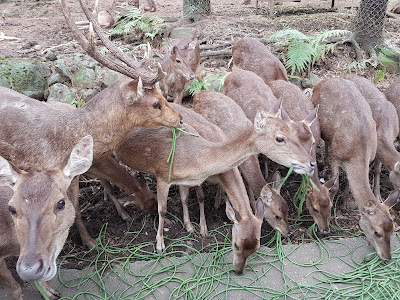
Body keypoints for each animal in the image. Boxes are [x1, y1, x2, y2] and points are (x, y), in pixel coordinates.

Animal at [191, 90, 290, 236]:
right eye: (277, 216)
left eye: (287, 209)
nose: (287, 232)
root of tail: (197, 93)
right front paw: (218, 202)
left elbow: (247, 183)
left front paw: (254, 205)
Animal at [312, 78, 400, 260]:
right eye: (377, 232)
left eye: (393, 230)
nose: (387, 257)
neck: (358, 153)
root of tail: (325, 80)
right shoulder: (336, 157)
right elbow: (335, 185)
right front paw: (332, 211)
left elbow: (348, 184)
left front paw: (345, 203)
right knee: (325, 143)